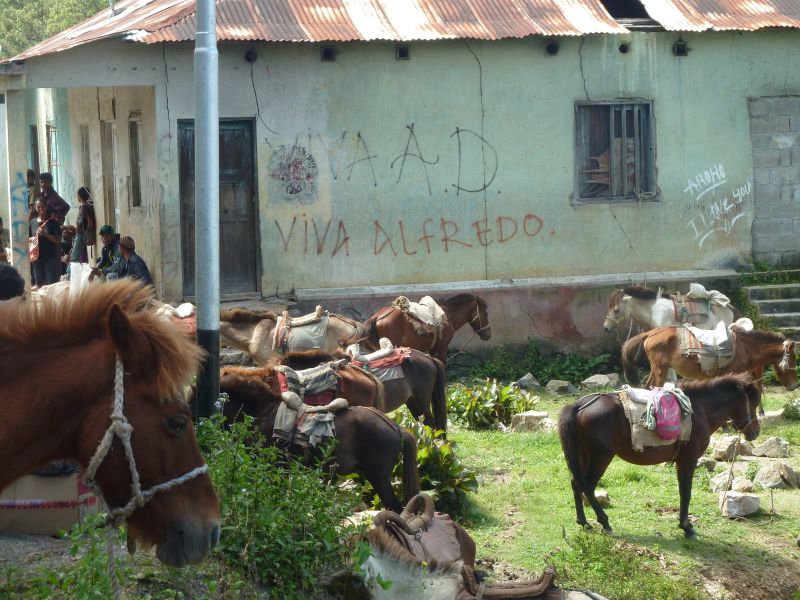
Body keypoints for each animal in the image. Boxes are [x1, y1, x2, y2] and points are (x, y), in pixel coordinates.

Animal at [356, 294, 491, 364]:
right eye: (485, 312)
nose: (488, 335)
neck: (447, 316)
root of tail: (376, 317)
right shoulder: (443, 347)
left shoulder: (432, 349)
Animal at [559, 373, 762, 538]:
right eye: (754, 403)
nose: (756, 432)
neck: (699, 410)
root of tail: (578, 405)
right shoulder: (689, 460)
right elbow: (686, 493)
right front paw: (687, 527)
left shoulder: (681, 461)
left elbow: (682, 492)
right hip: (601, 457)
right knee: (588, 486)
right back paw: (605, 522)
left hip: (583, 456)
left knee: (576, 483)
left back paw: (583, 522)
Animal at [621, 326, 798, 391]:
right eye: (793, 360)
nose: (795, 385)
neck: (745, 347)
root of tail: (651, 332)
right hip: (661, 369)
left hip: (657, 368)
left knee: (647, 386)